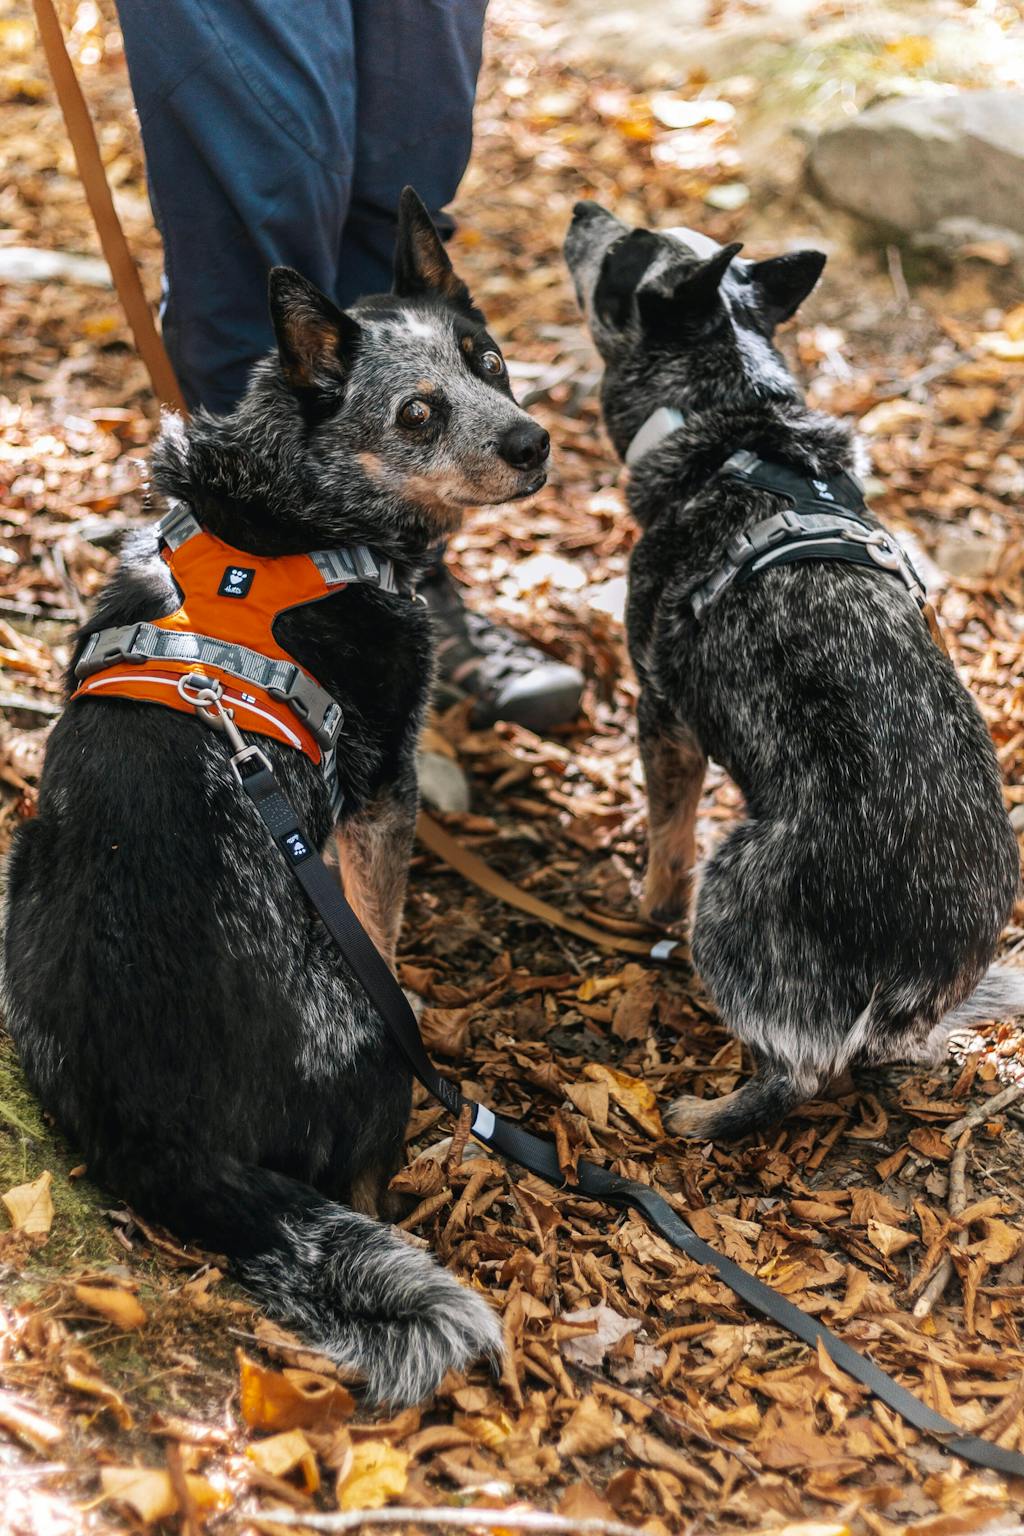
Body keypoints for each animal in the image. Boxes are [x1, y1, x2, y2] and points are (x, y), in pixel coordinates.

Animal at [4, 188, 550, 1404]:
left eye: (488, 358)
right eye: (418, 412)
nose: (531, 440)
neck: (291, 508)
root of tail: (160, 1137)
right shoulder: (379, 785)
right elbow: (382, 914)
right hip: (367, 1050)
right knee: (363, 1178)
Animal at [564, 201, 1022, 1141]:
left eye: (623, 251)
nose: (586, 209)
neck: (730, 422)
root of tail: (913, 979)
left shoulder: (660, 711)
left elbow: (666, 834)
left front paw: (645, 904)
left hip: (736, 888)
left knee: (799, 1073)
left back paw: (706, 1113)